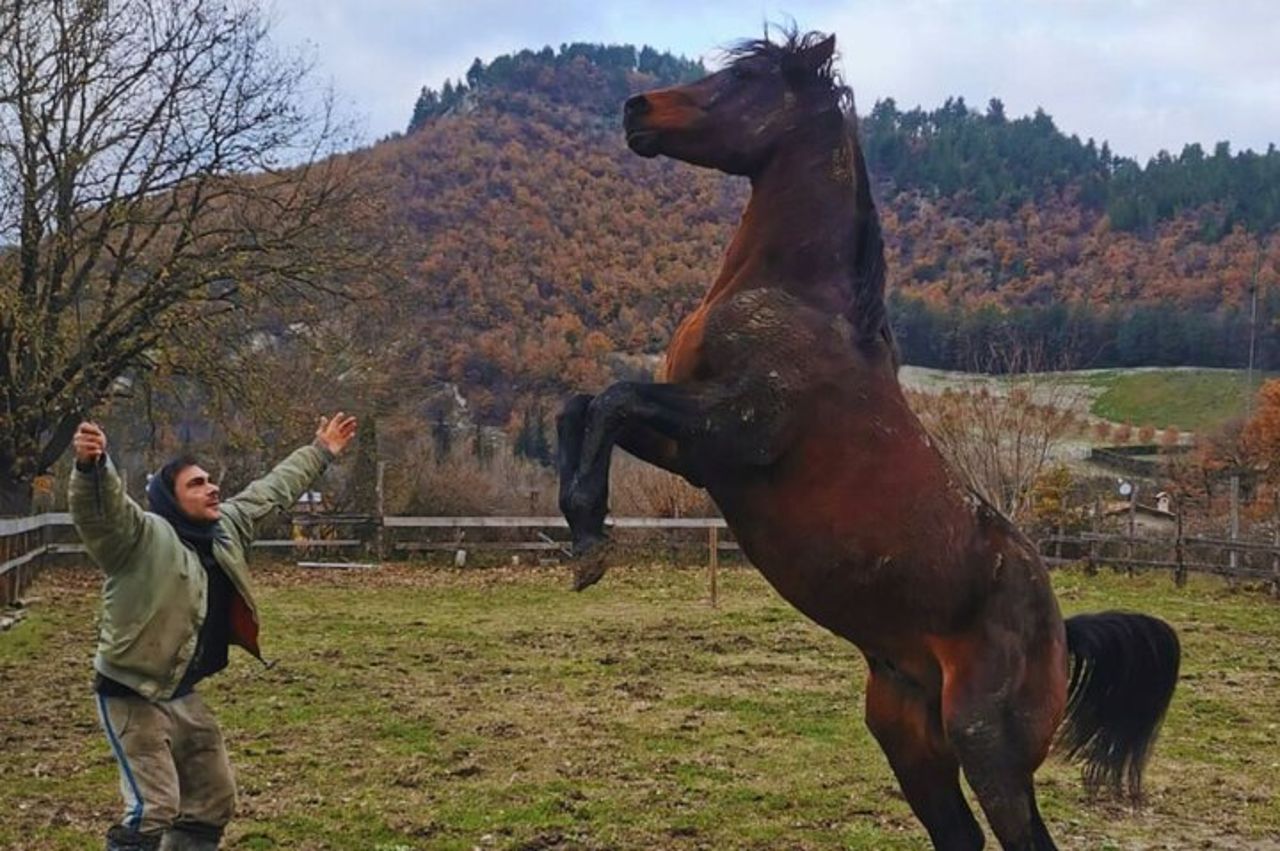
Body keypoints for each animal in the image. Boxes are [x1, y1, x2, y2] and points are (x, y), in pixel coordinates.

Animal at [555, 30, 1180, 851]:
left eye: (747, 79)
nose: (637, 110)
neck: (795, 301)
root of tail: (1061, 633)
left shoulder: (736, 434)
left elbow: (614, 398)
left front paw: (591, 544)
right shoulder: (696, 455)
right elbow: (584, 406)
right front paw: (581, 530)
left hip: (988, 747)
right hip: (905, 733)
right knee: (960, 837)